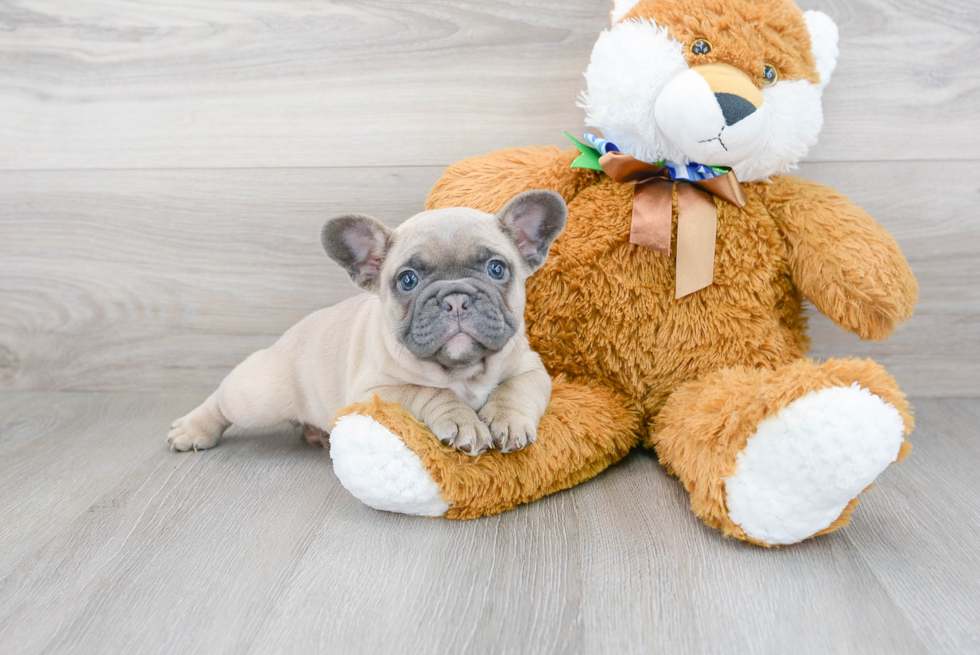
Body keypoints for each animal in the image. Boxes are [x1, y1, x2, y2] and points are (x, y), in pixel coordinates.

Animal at [167, 190, 568, 456]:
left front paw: (507, 420)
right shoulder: (376, 393)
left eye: (497, 269)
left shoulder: (531, 370)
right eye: (408, 280)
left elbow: (512, 390)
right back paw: (192, 428)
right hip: (260, 395)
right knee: (224, 399)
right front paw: (462, 419)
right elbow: (431, 392)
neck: (462, 370)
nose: (455, 298)